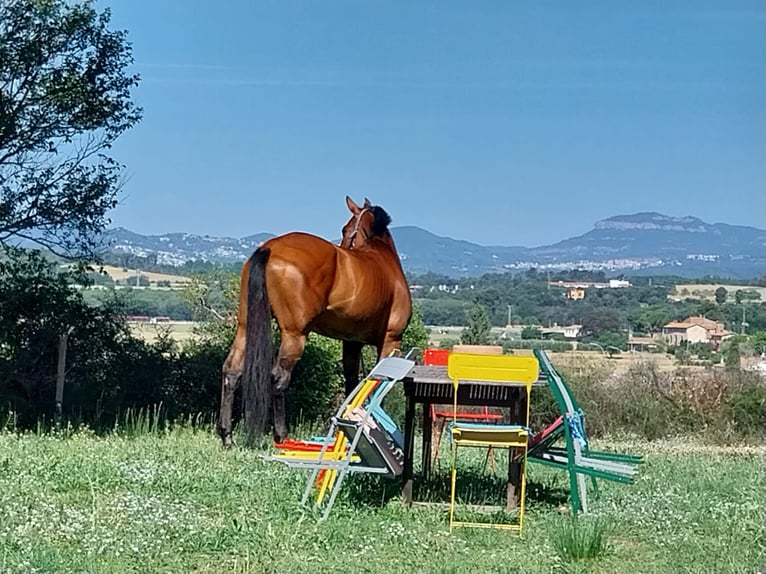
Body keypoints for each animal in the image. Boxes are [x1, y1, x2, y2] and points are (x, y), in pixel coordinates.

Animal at [218, 196, 412, 446]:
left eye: (346, 228)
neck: (382, 257)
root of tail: (269, 247)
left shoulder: (352, 342)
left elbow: (352, 383)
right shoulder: (391, 341)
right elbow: (378, 387)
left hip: (244, 327)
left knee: (231, 371)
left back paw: (226, 436)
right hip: (294, 335)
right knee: (278, 379)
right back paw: (281, 436)